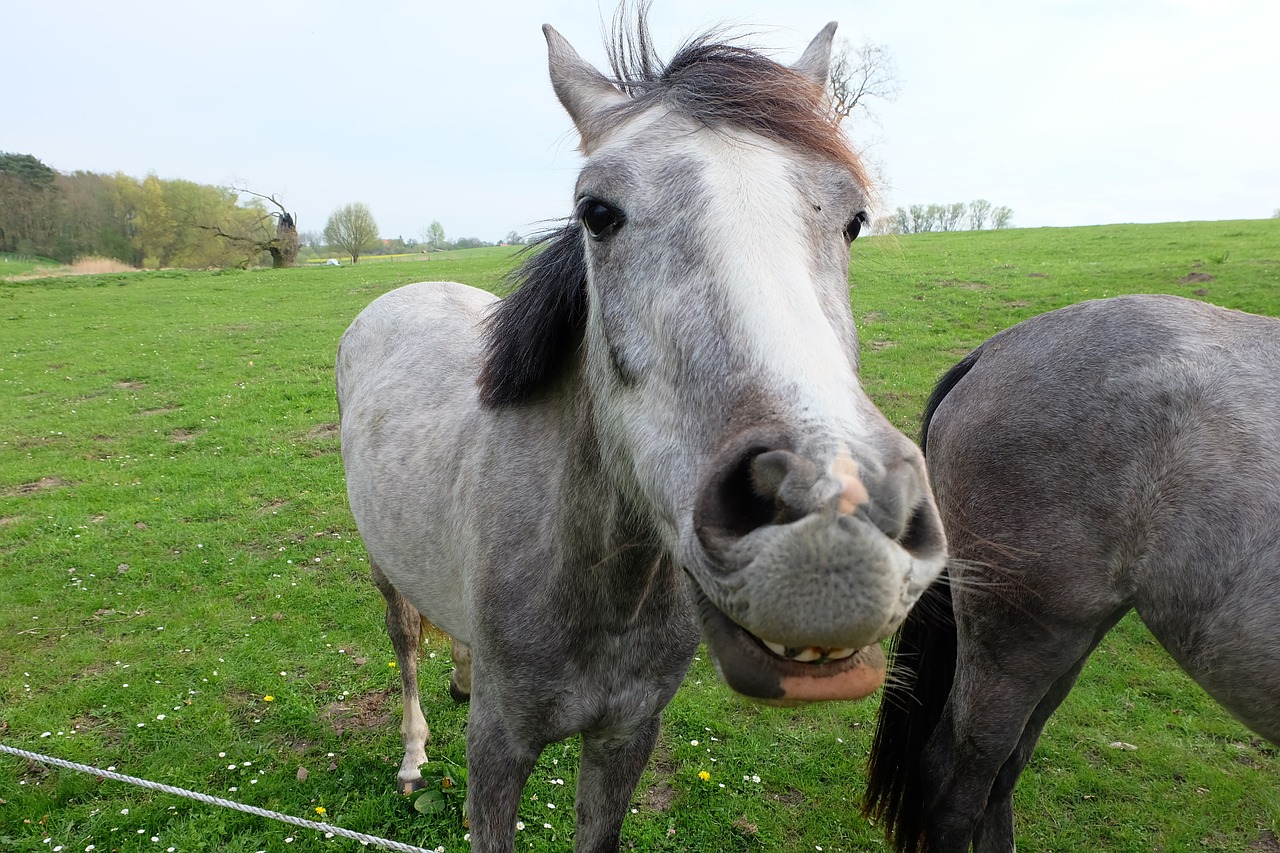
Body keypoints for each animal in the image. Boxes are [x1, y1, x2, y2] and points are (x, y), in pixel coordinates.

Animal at [335, 13, 947, 850]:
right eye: (596, 212)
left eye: (854, 219)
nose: (836, 529)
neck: (599, 584)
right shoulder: (498, 747)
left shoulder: (627, 734)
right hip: (383, 569)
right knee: (403, 648)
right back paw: (411, 755)